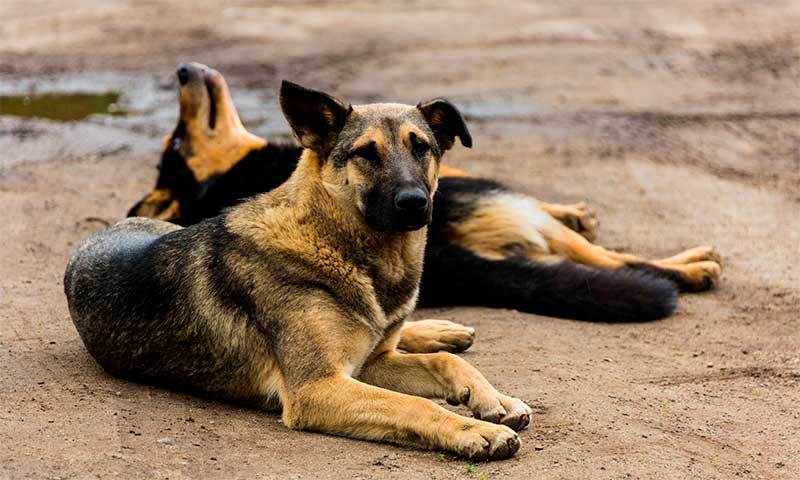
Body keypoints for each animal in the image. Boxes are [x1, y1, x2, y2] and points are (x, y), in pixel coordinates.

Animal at [69, 80, 536, 460]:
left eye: (421, 146)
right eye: (365, 153)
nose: (414, 203)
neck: (336, 240)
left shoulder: (370, 364)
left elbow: (444, 363)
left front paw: (493, 399)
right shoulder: (320, 387)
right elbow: (414, 404)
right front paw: (473, 430)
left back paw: (439, 329)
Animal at [128, 62, 720, 322]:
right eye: (177, 139)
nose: (182, 69)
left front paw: (576, 208)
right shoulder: (479, 188)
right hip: (503, 207)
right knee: (611, 260)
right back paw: (690, 267)